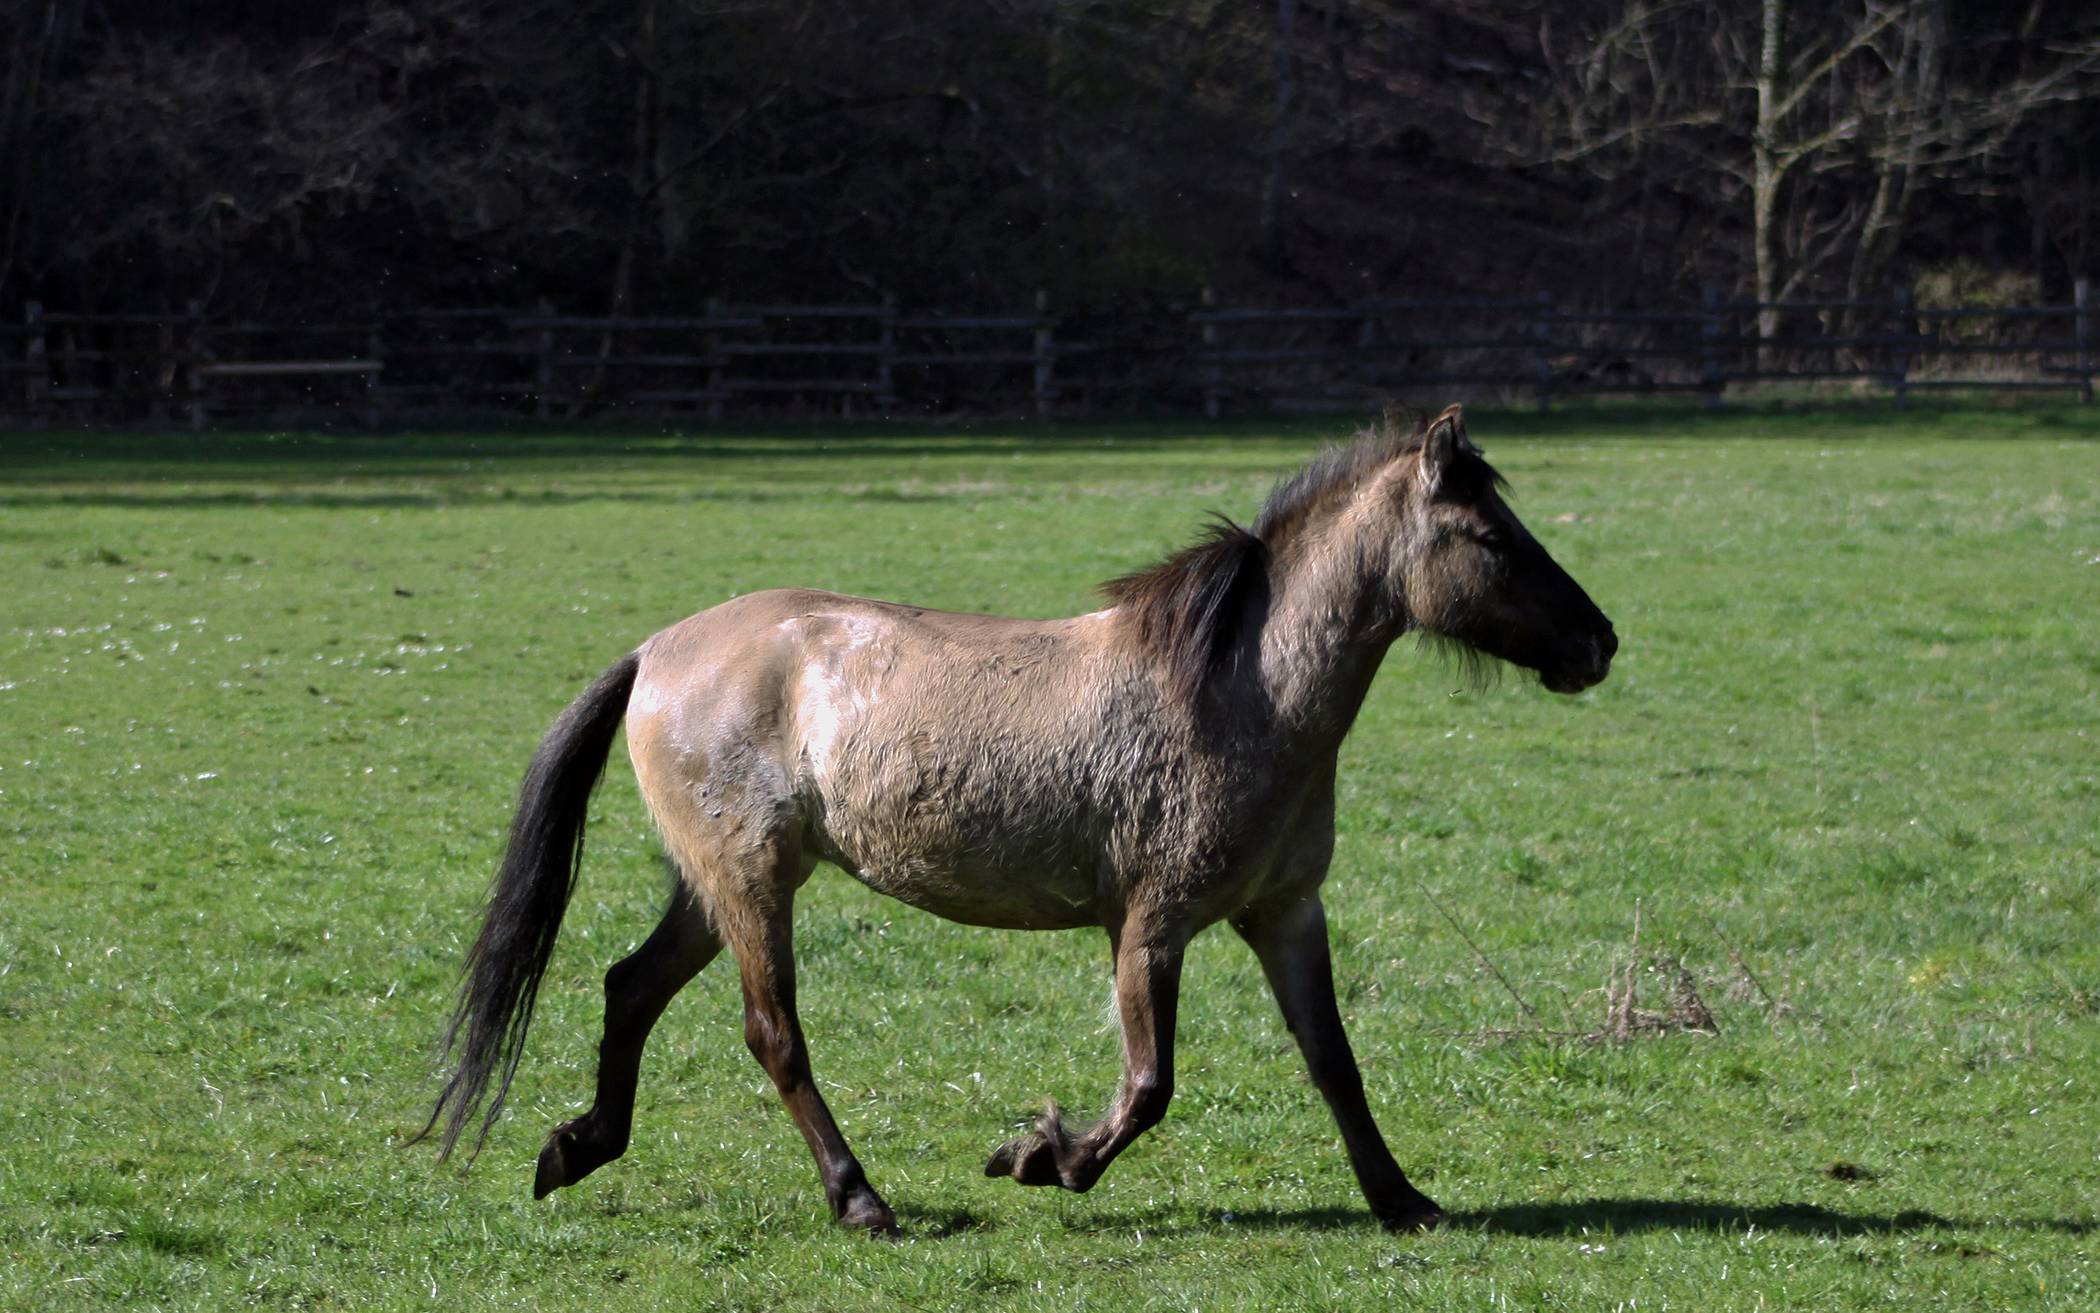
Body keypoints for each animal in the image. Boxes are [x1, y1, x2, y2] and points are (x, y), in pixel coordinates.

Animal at [417, 397, 1612, 1226]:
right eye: (1493, 538)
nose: (1599, 642)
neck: (1240, 693)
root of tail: (656, 650)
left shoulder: (1285, 912)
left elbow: (1335, 1062)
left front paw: (1405, 1198)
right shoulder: (1152, 921)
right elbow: (1149, 1084)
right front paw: (1042, 1155)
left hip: (719, 884)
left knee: (630, 987)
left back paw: (575, 1148)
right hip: (752, 882)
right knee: (774, 1033)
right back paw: (862, 1201)